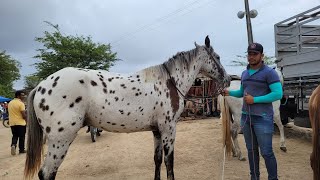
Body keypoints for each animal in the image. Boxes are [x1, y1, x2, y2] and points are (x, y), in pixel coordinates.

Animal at [24, 35, 230, 179]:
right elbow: (169, 162)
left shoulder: (157, 130)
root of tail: (41, 85)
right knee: (47, 173)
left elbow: (157, 160)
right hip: (60, 139)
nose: (227, 79)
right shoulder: (168, 129)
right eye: (218, 57)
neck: (169, 82)